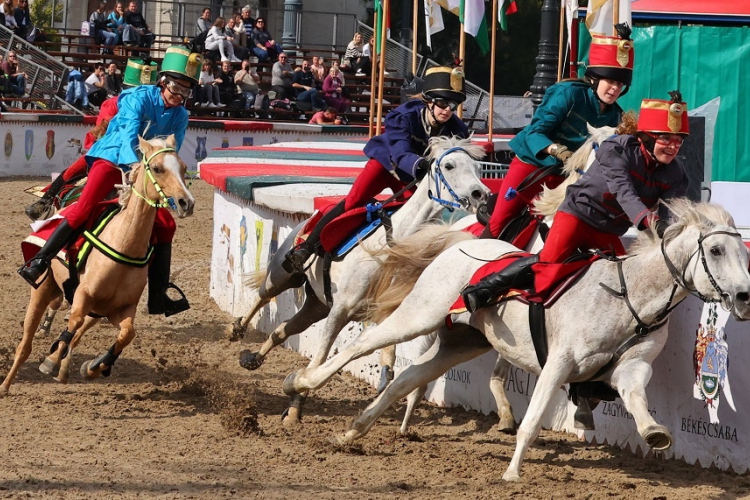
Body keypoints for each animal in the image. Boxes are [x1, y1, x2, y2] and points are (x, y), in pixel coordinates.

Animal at [0, 137, 194, 394]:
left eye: (183, 168)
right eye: (157, 168)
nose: (186, 202)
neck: (124, 243)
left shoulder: (121, 309)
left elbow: (126, 333)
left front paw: (94, 366)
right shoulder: (83, 296)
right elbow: (73, 323)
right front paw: (54, 359)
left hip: (96, 307)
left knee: (81, 330)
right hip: (44, 288)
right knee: (26, 343)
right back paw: (7, 383)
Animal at [236, 136, 494, 422]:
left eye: (478, 167)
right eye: (449, 165)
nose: (481, 195)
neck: (393, 247)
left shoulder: (382, 310)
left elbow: (387, 354)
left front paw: (384, 380)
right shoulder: (340, 310)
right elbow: (320, 359)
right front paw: (294, 406)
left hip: (316, 305)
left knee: (283, 330)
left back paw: (253, 358)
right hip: (284, 276)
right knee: (263, 296)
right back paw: (237, 328)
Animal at [282, 199, 750, 480]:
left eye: (743, 252)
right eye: (715, 251)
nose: (744, 297)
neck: (626, 293)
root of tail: (458, 243)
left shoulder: (631, 369)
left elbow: (637, 401)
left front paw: (654, 432)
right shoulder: (558, 363)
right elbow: (531, 420)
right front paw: (512, 472)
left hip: (461, 343)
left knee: (405, 380)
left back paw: (352, 432)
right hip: (420, 314)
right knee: (362, 346)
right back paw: (299, 383)